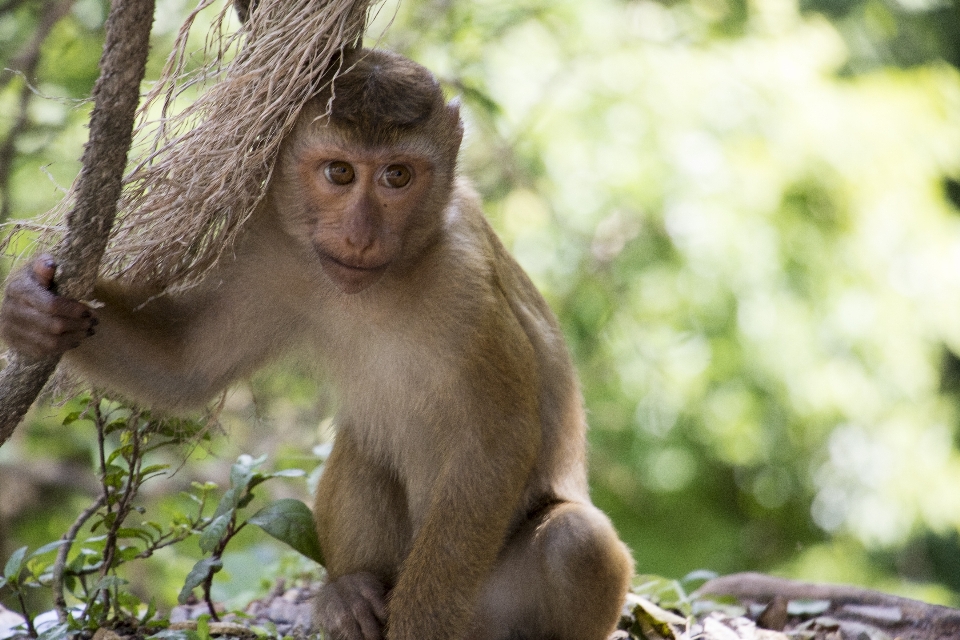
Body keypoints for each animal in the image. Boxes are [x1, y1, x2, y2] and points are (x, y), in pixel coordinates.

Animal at [0, 47, 632, 636]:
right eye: (340, 173)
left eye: (397, 176)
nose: (359, 235)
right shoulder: (272, 248)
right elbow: (185, 367)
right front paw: (32, 309)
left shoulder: (465, 283)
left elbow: (495, 443)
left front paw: (417, 627)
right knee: (366, 442)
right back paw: (349, 593)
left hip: (483, 603)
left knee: (575, 541)